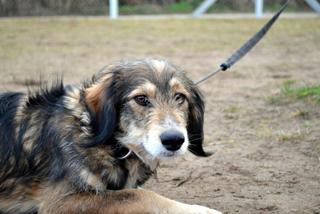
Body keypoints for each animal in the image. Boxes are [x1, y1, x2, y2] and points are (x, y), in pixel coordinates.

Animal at [0, 59, 222, 214]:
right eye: (141, 99)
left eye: (180, 97)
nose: (174, 140)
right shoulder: (59, 202)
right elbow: (139, 195)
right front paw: (200, 210)